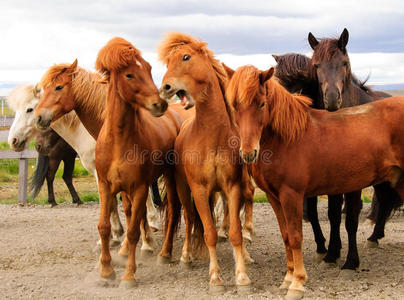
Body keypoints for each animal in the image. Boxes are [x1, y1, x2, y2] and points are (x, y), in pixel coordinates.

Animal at [93, 37, 183, 286]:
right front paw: (106, 271)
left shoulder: (140, 187)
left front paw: (129, 276)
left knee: (173, 211)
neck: (118, 142)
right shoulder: (106, 186)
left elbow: (133, 231)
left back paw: (165, 253)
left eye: (149, 69)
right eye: (129, 75)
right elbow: (105, 227)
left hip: (170, 177)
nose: (159, 104)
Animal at [158, 33, 252, 292]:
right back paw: (185, 256)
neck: (213, 136)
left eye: (185, 57)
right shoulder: (199, 190)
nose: (165, 88)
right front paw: (215, 278)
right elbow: (209, 232)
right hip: (182, 188)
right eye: (168, 61)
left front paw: (242, 276)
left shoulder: (232, 187)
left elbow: (235, 231)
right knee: (190, 218)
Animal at [224, 64, 404, 298]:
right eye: (234, 105)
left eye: (262, 103)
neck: (287, 138)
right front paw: (288, 278)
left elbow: (295, 236)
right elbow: (286, 236)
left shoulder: (291, 195)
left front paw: (297, 283)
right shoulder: (274, 198)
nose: (248, 153)